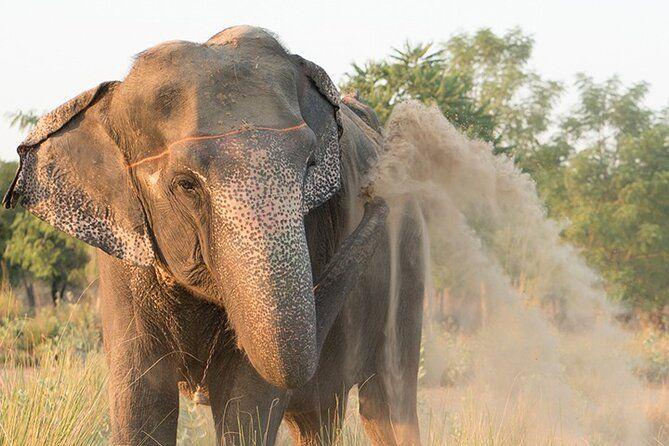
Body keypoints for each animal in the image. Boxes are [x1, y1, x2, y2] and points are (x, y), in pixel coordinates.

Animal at [3, 26, 426, 445]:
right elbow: (141, 400)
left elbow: (248, 398)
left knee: (386, 404)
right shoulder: (123, 258)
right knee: (319, 414)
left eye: (310, 164)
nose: (375, 193)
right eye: (186, 185)